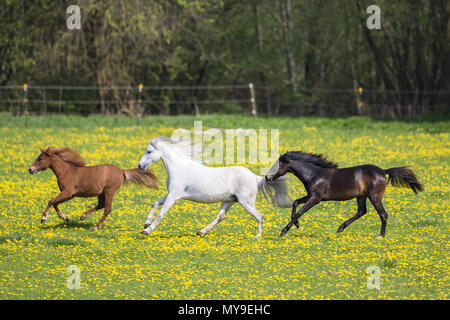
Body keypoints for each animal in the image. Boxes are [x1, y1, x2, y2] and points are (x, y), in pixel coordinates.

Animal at [28, 148, 158, 230]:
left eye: (40, 159)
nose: (30, 169)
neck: (66, 172)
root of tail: (121, 171)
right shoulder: (68, 195)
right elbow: (55, 203)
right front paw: (65, 218)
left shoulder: (68, 193)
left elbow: (51, 201)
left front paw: (43, 218)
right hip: (101, 193)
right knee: (101, 205)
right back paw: (83, 216)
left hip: (109, 192)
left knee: (107, 209)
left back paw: (96, 226)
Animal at [264, 151, 422, 238]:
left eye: (278, 165)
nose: (267, 177)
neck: (314, 174)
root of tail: (383, 171)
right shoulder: (311, 196)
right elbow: (295, 203)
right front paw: (296, 224)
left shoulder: (315, 199)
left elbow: (300, 212)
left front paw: (284, 231)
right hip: (362, 196)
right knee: (361, 211)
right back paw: (340, 228)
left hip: (375, 197)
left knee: (383, 214)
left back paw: (380, 236)